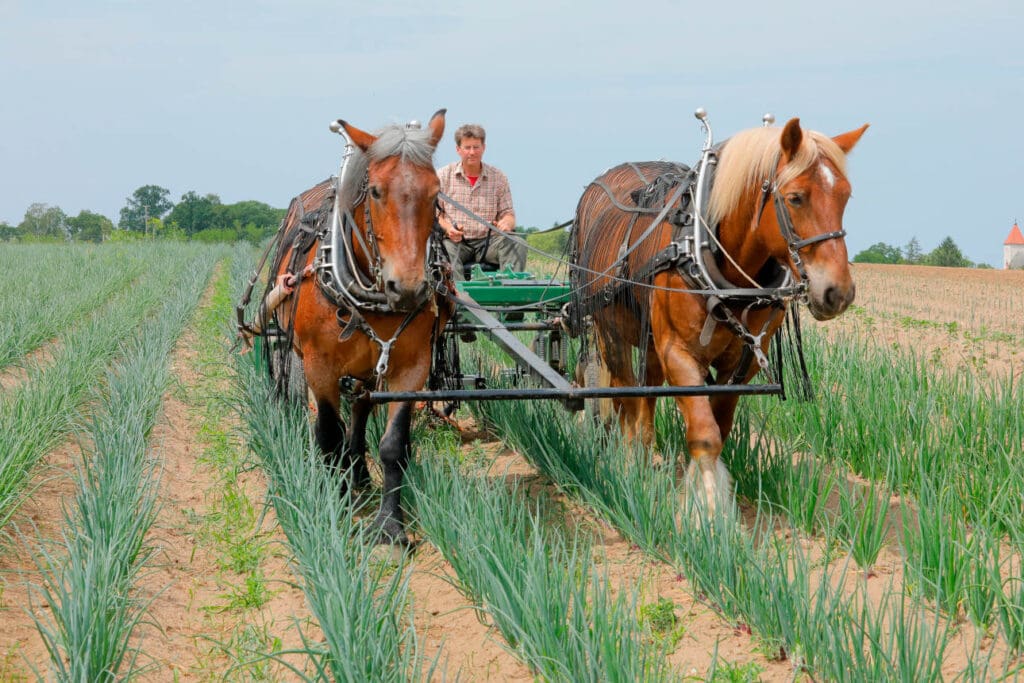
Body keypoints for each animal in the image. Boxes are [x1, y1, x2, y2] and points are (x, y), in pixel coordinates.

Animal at [266, 109, 450, 544]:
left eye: (436, 193)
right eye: (377, 191)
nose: (409, 287)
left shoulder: (411, 367)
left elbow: (394, 445)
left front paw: (390, 526)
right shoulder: (319, 366)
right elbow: (327, 436)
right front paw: (336, 509)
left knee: (361, 409)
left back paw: (360, 473)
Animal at [573, 117, 868, 509]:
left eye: (845, 196)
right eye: (795, 197)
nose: (838, 293)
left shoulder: (743, 362)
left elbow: (719, 425)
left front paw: (699, 492)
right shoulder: (678, 353)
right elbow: (704, 433)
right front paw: (709, 510)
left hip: (649, 340)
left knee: (646, 395)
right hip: (611, 331)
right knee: (624, 396)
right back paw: (629, 462)